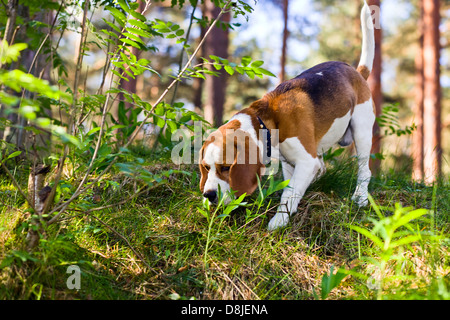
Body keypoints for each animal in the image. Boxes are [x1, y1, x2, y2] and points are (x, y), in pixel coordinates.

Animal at [199, 0, 374, 230]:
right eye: (206, 167)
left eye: (227, 167)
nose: (208, 195)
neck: (266, 119)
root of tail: (357, 73)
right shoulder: (290, 163)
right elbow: (291, 188)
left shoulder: (306, 161)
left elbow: (289, 193)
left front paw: (279, 220)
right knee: (323, 168)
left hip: (362, 132)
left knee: (364, 169)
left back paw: (360, 196)